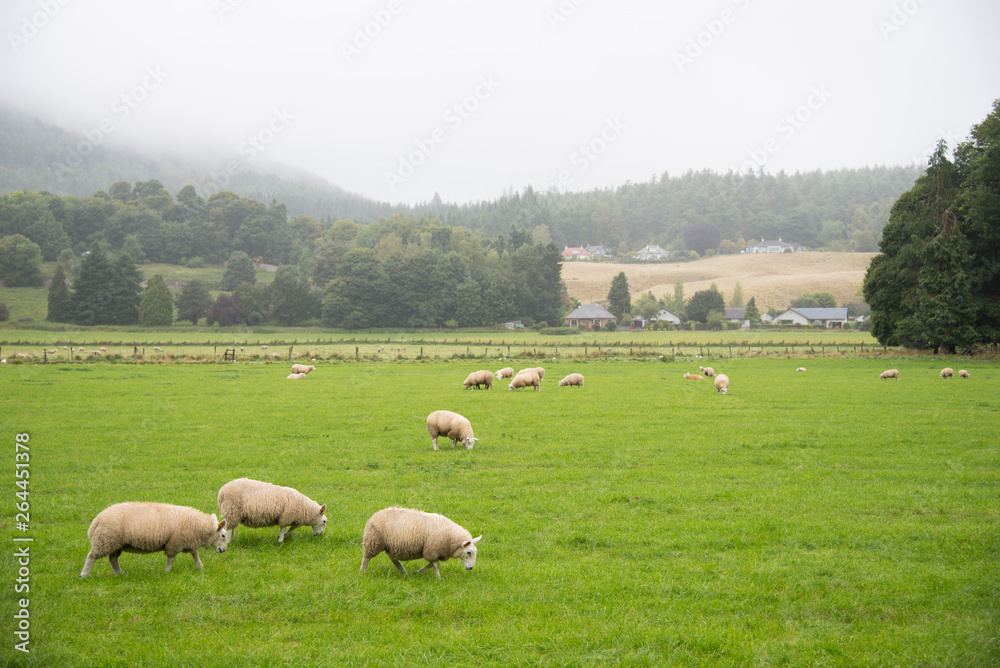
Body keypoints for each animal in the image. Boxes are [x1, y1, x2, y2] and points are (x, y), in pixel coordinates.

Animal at [80, 502, 230, 577]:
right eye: (223, 536)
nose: (223, 551)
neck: (200, 527)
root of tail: (97, 520)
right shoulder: (175, 543)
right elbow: (171, 558)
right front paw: (167, 571)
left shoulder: (189, 541)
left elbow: (195, 554)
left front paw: (199, 566)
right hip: (105, 540)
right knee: (91, 557)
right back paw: (85, 574)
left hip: (115, 543)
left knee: (113, 559)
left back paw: (119, 574)